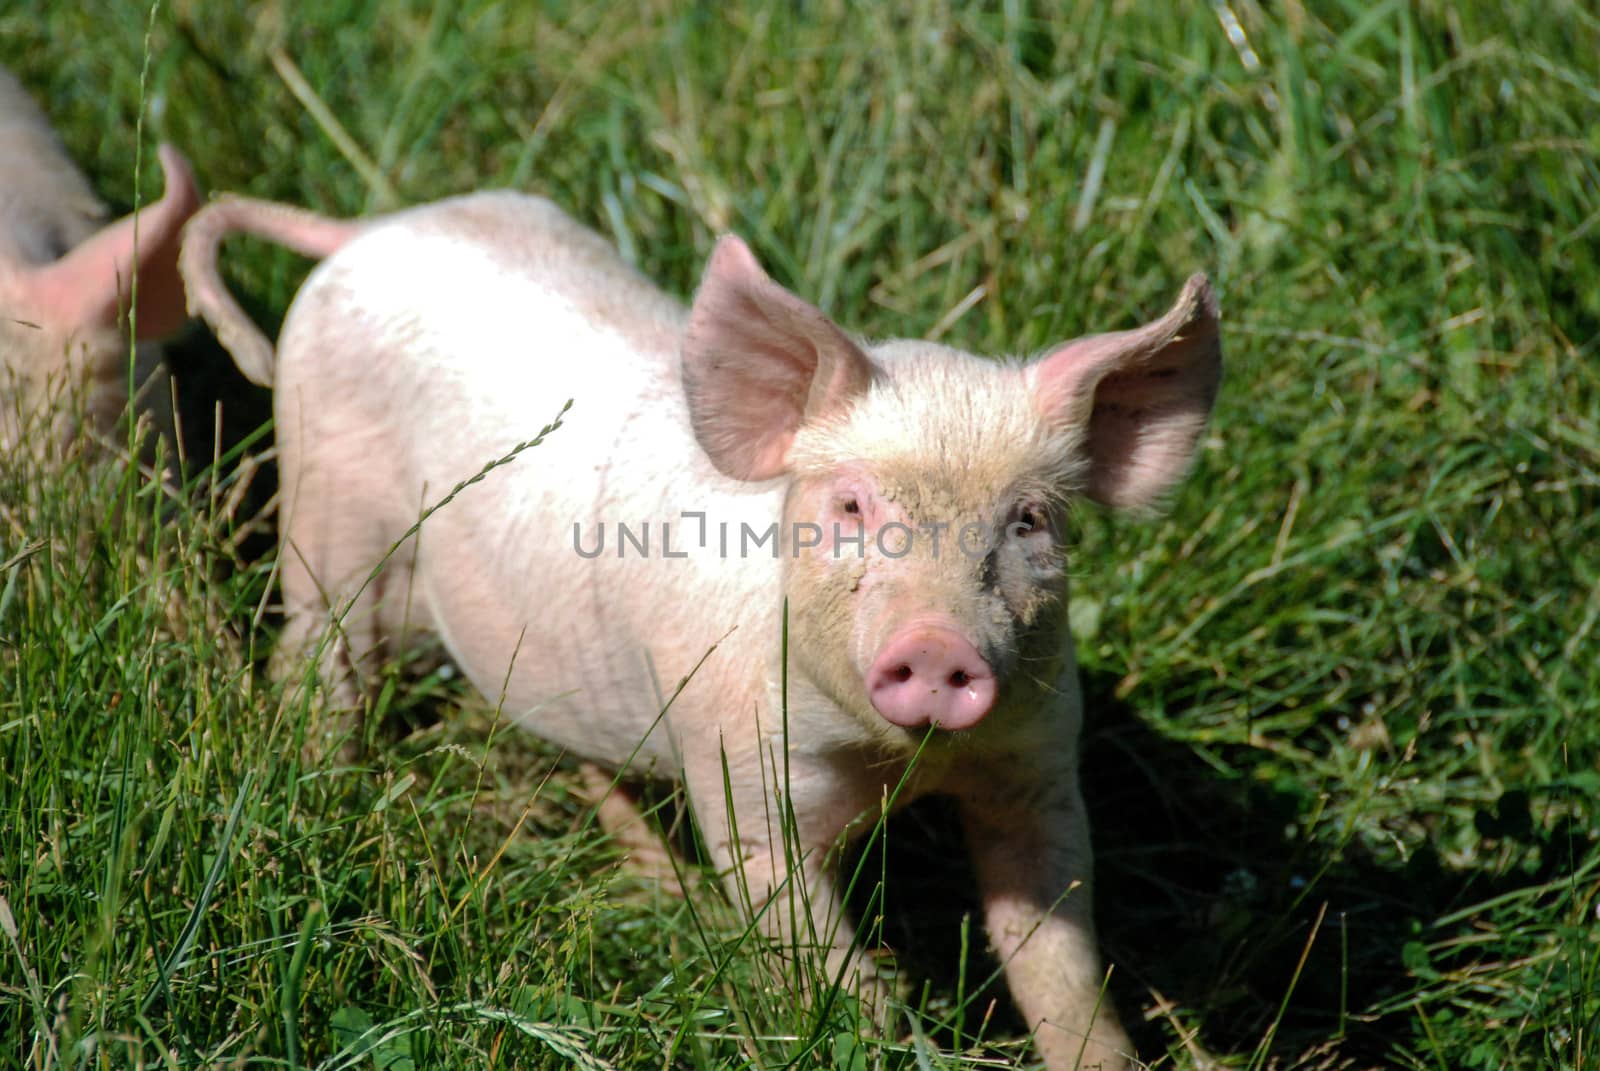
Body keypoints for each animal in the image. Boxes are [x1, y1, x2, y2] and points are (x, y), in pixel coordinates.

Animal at [181, 185, 1216, 1069]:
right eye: (849, 505)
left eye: (1028, 521)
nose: (937, 643)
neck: (891, 767)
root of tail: (367, 230)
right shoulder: (743, 774)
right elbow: (810, 942)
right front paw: (872, 1029)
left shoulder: (1038, 754)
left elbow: (1058, 954)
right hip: (326, 507)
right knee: (322, 650)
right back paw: (325, 779)